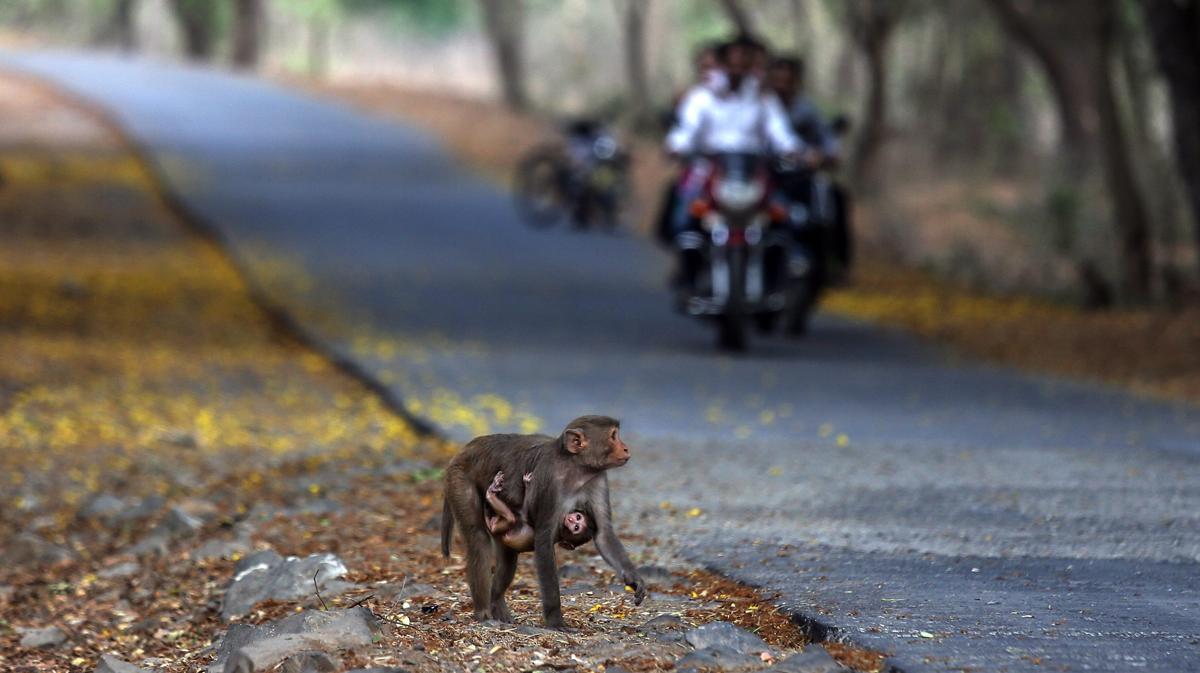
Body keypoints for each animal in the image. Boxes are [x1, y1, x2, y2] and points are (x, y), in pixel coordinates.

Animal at [444, 412, 648, 628]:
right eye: (613, 436)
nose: (625, 448)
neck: (576, 469)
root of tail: (464, 450)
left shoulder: (597, 479)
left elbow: (603, 534)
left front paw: (634, 578)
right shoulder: (550, 482)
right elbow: (543, 539)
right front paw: (555, 620)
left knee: (507, 558)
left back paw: (496, 603)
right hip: (459, 478)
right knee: (478, 538)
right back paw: (483, 612)